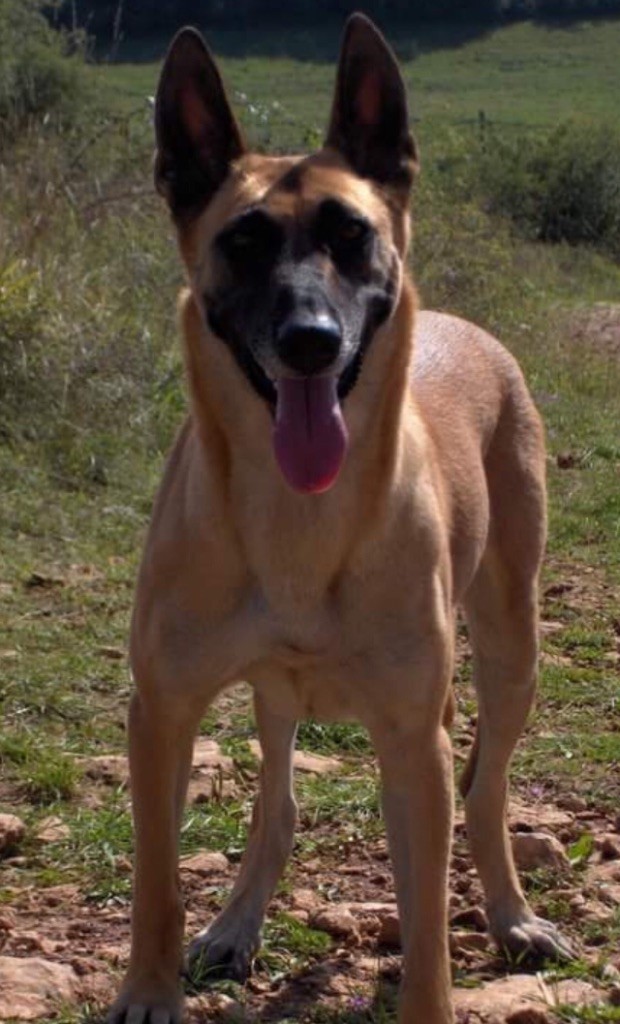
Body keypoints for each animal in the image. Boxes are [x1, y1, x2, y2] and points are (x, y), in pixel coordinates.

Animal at [108, 16, 573, 1024]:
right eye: (243, 241)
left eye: (352, 235)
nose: (311, 342)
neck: (297, 521)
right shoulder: (162, 712)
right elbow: (158, 881)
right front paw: (151, 990)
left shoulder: (412, 738)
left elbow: (429, 919)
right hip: (277, 694)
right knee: (278, 804)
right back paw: (236, 924)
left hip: (511, 644)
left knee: (485, 797)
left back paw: (514, 916)